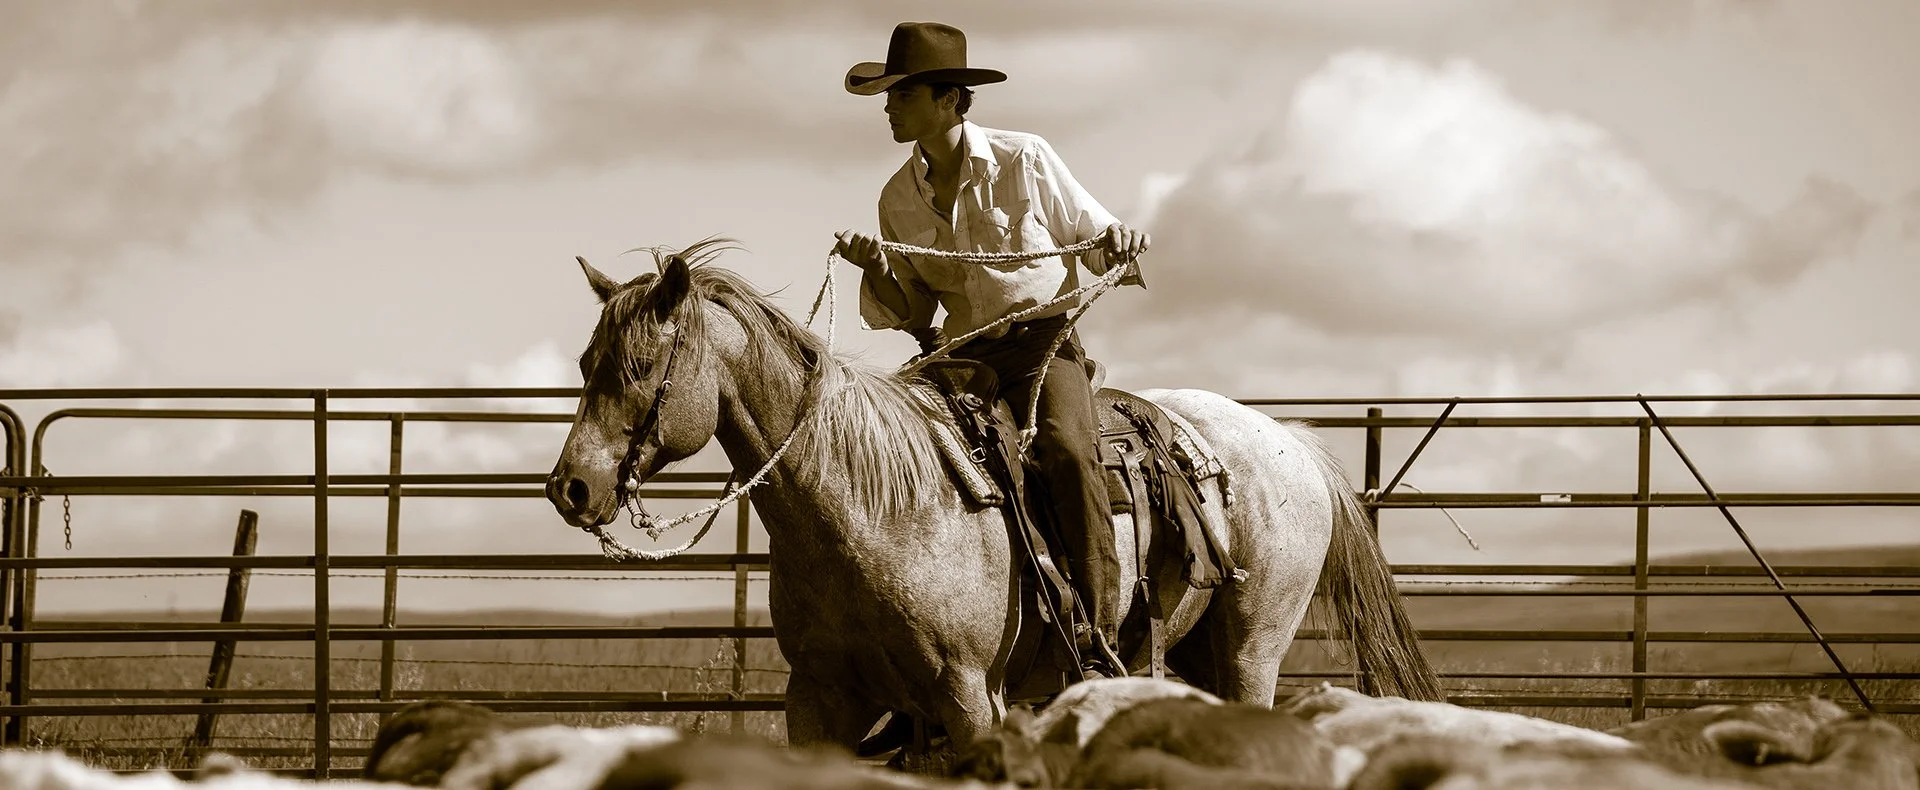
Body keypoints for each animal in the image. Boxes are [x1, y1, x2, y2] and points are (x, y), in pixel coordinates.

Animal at [543, 238, 1443, 768]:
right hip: (1193, 654)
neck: (870, 509)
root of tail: (1289, 439)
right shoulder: (818, 703)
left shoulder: (971, 698)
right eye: (586, 361)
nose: (570, 487)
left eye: (639, 365)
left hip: (1254, 646)